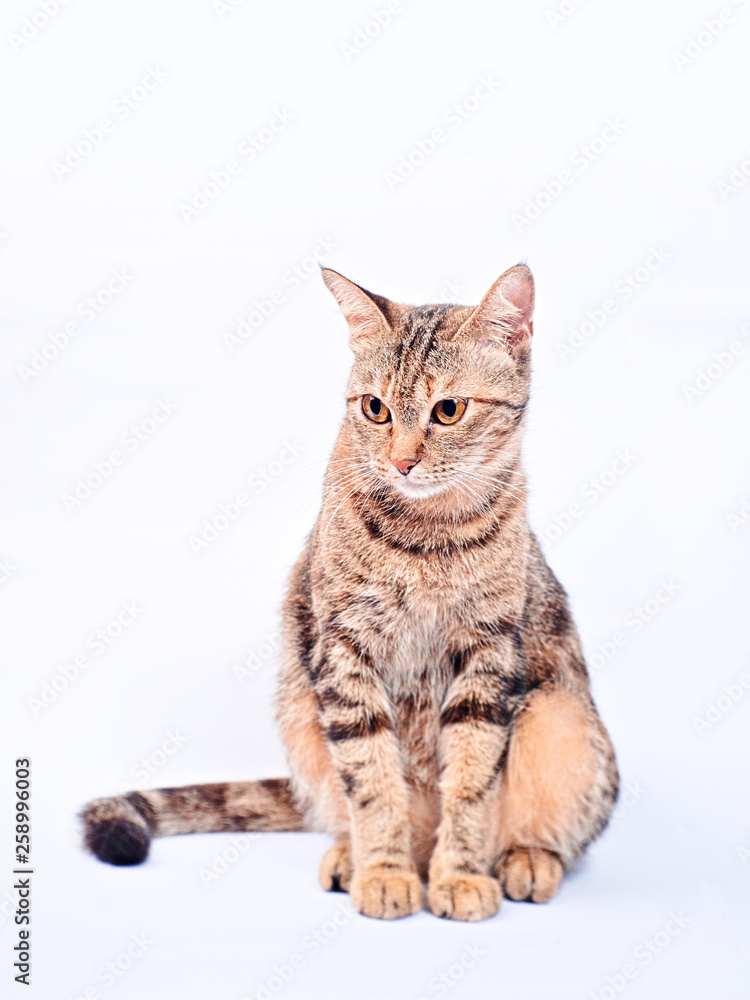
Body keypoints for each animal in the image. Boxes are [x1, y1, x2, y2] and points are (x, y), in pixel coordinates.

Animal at [83, 264, 624, 920]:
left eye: (447, 410)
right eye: (375, 409)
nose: (402, 461)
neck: (426, 540)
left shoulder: (489, 655)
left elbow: (470, 784)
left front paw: (460, 875)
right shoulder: (342, 651)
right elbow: (373, 782)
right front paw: (385, 871)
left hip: (563, 715)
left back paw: (524, 858)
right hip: (299, 710)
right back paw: (355, 856)